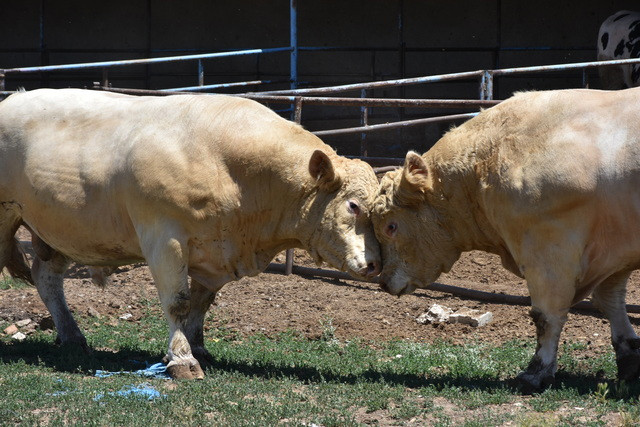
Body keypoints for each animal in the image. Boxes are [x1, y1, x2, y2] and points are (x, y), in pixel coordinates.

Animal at [0, 89, 380, 382]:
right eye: (353, 206)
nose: (376, 264)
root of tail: (14, 98)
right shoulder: (164, 237)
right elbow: (178, 302)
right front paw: (183, 360)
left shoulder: (213, 251)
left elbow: (200, 303)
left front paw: (198, 348)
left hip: (57, 229)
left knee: (47, 277)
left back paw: (72, 336)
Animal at [372, 87, 640, 394]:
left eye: (391, 226)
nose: (383, 281)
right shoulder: (614, 251)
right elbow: (610, 302)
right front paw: (629, 359)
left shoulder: (548, 252)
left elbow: (546, 315)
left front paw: (536, 373)